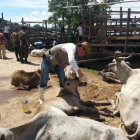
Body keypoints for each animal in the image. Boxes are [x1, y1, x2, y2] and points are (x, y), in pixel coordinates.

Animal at [0, 79, 128, 139]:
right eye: (71, 81)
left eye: (74, 78)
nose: (79, 78)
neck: (72, 93)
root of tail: (37, 112)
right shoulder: (81, 105)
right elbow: (93, 109)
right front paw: (109, 113)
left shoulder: (82, 102)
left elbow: (93, 102)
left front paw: (106, 103)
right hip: (60, 113)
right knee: (75, 117)